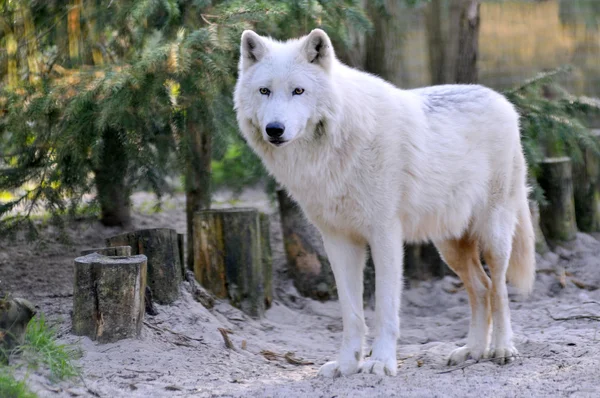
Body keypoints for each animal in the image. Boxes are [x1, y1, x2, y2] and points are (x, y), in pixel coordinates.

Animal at [233, 28, 536, 376]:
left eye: (298, 91)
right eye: (265, 91)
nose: (274, 129)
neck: (333, 152)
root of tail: (502, 100)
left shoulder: (385, 235)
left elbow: (385, 309)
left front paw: (380, 362)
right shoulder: (338, 240)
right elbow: (351, 314)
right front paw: (346, 365)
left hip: (493, 235)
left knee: (499, 289)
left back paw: (502, 348)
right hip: (450, 247)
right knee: (482, 288)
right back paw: (471, 350)